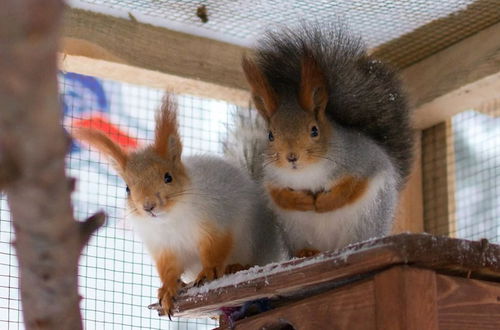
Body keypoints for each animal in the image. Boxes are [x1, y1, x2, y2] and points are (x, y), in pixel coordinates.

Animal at [73, 94, 286, 316]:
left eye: (168, 177)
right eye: (127, 189)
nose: (148, 207)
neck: (170, 219)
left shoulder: (216, 220)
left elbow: (215, 249)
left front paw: (208, 271)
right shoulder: (163, 246)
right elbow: (168, 269)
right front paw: (168, 289)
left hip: (257, 243)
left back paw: (235, 267)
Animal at [228, 25, 414, 258]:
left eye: (314, 130)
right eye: (270, 135)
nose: (291, 157)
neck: (307, 172)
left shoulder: (362, 160)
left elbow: (353, 186)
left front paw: (325, 202)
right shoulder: (271, 176)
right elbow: (278, 194)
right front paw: (300, 200)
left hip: (366, 220)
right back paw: (307, 252)